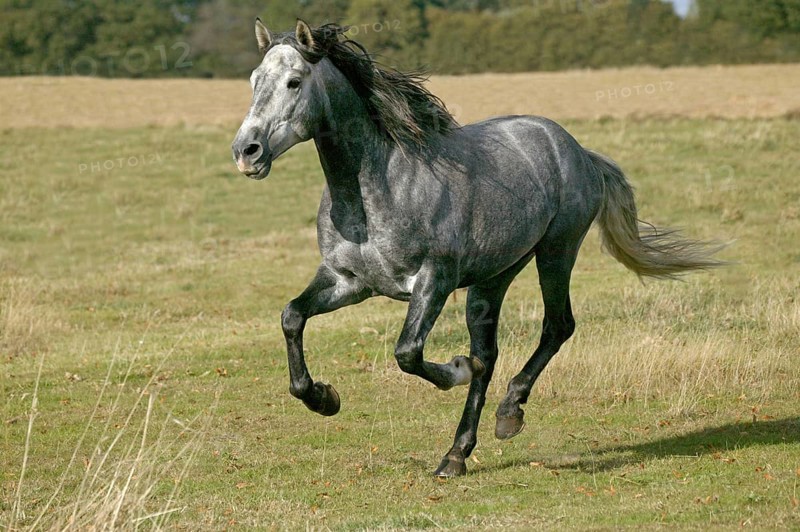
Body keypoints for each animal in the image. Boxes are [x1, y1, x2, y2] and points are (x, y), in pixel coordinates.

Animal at [231, 19, 724, 477]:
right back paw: (457, 454)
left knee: (556, 327)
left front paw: (456, 368)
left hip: (556, 252)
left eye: (295, 81)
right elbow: (292, 317)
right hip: (493, 279)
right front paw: (324, 398)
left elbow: (408, 353)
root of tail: (578, 150)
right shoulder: (348, 282)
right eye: (254, 79)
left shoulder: (433, 280)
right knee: (490, 353)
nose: (246, 152)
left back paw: (508, 414)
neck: (376, 191)